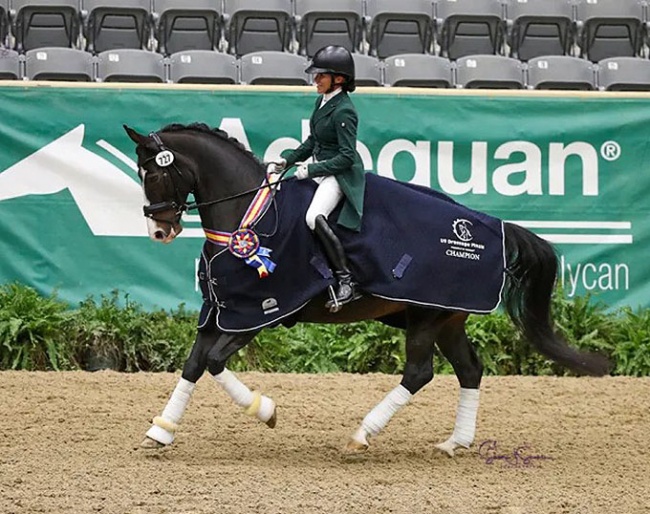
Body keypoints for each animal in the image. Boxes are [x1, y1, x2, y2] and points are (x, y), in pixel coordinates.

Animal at [121, 122, 608, 454]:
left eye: (153, 174)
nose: (159, 231)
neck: (247, 216)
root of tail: (492, 227)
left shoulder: (259, 312)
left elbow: (215, 364)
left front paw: (267, 410)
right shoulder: (221, 311)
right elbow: (193, 365)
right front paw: (159, 431)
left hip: (426, 316)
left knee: (419, 373)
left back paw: (361, 434)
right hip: (446, 317)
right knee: (470, 370)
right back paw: (455, 443)